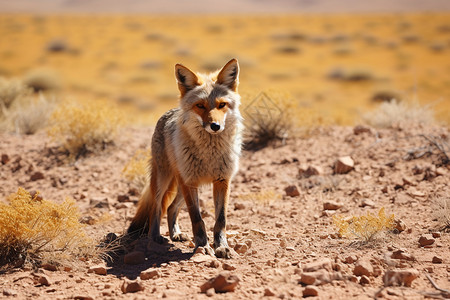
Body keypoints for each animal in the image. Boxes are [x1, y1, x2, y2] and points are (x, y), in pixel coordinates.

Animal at [126, 58, 243, 258]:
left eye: (222, 105)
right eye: (200, 105)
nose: (215, 126)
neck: (209, 153)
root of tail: (170, 111)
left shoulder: (222, 180)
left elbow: (220, 220)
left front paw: (221, 247)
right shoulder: (190, 181)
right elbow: (197, 219)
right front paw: (203, 246)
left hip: (181, 185)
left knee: (171, 207)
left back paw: (176, 233)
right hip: (165, 179)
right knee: (156, 208)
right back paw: (155, 237)